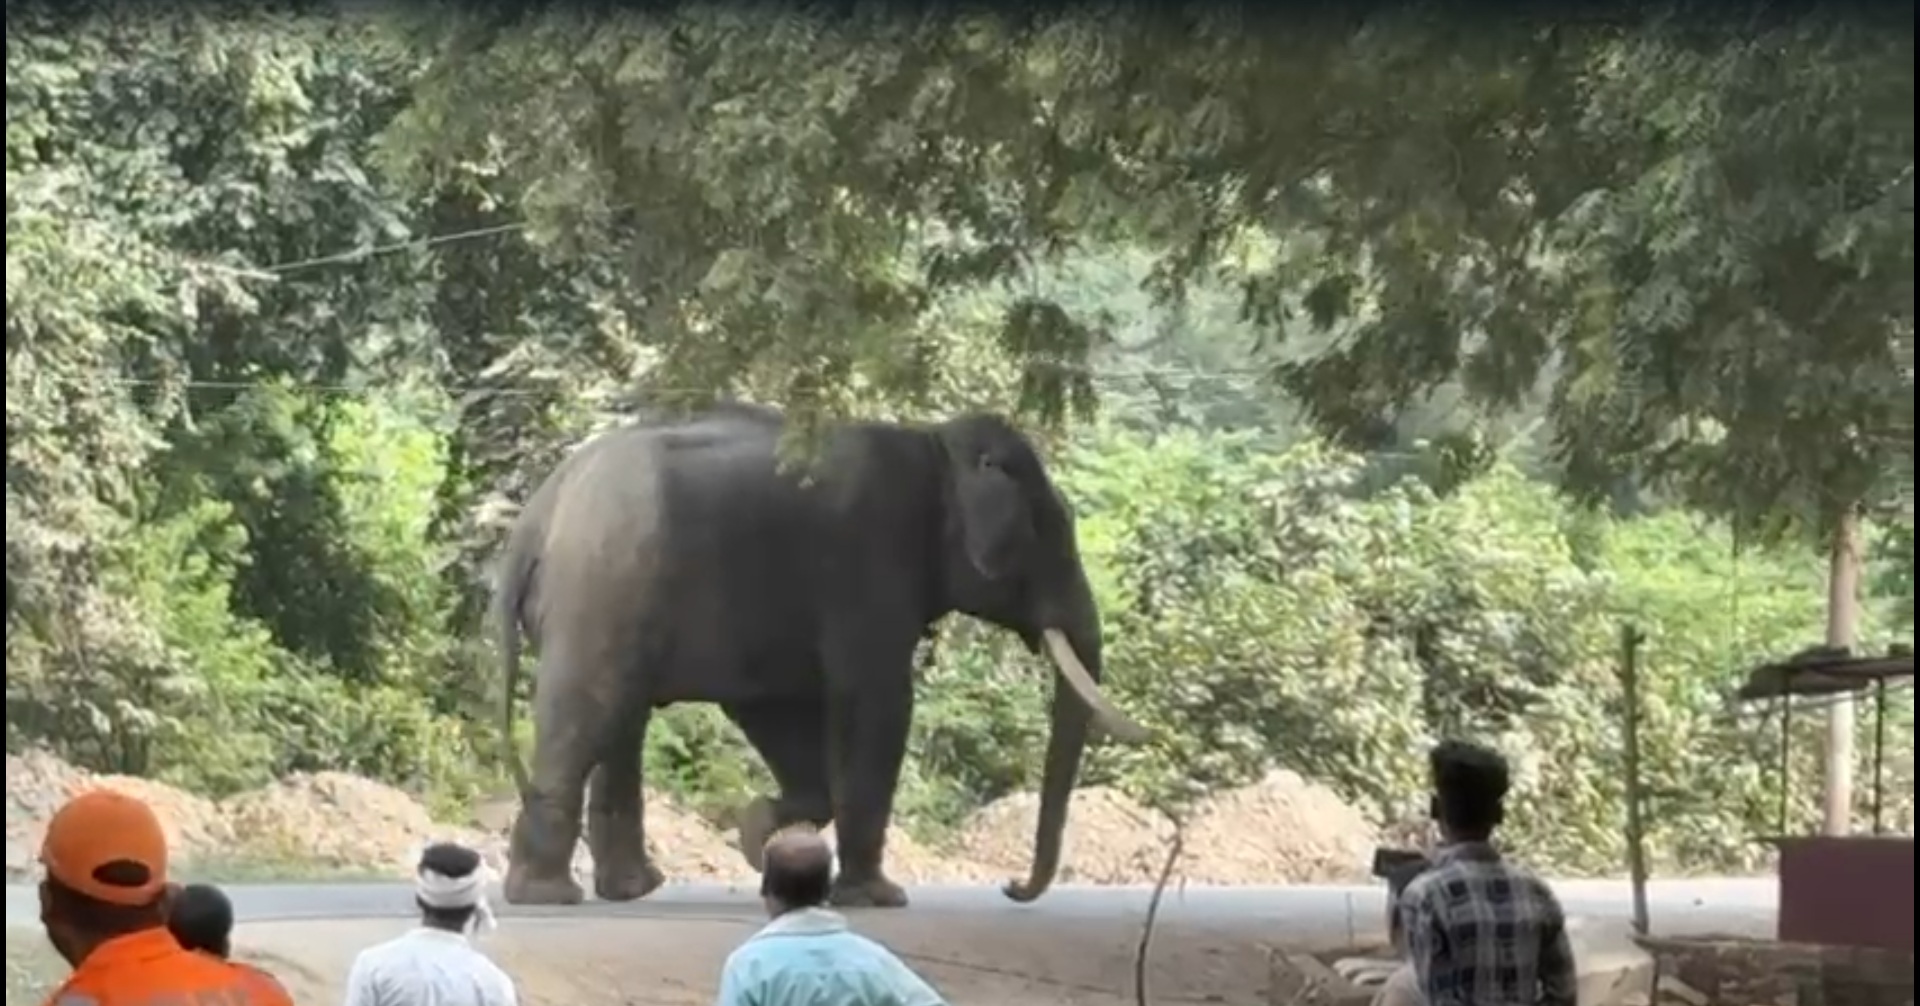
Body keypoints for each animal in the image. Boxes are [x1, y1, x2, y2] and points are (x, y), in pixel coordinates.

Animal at [491, 402, 1151, 909]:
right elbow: (877, 702)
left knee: (619, 723)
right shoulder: (870, 564)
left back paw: (630, 889)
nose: (1012, 887)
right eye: (1052, 532)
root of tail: (534, 519)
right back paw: (549, 896)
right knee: (589, 715)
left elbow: (777, 708)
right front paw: (878, 899)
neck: (935, 443)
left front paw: (757, 838)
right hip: (602, 591)